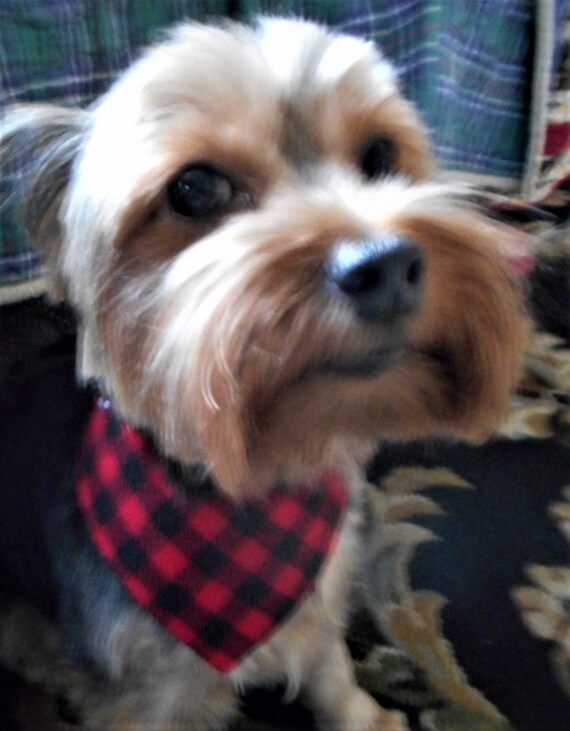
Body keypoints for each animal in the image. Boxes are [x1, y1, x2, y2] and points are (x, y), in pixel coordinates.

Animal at [0, 15, 524, 731]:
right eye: (195, 188)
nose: (385, 263)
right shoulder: (142, 693)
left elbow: (329, 665)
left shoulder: (322, 590)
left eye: (380, 156)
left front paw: (362, 715)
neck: (263, 480)